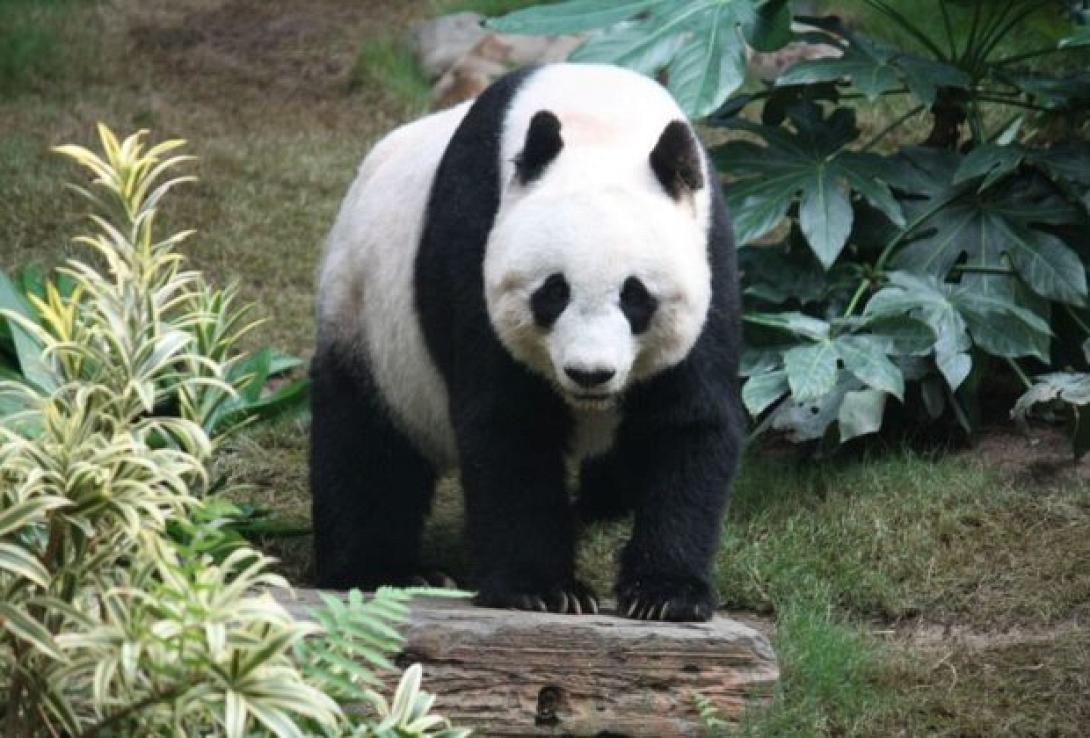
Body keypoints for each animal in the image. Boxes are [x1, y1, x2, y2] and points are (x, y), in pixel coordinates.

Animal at [311, 63, 742, 622]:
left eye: (636, 297)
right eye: (553, 293)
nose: (589, 374)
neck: (601, 122)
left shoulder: (711, 255)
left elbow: (688, 422)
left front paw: (665, 594)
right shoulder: (473, 238)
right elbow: (510, 423)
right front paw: (543, 589)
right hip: (367, 318)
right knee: (366, 444)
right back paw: (383, 569)